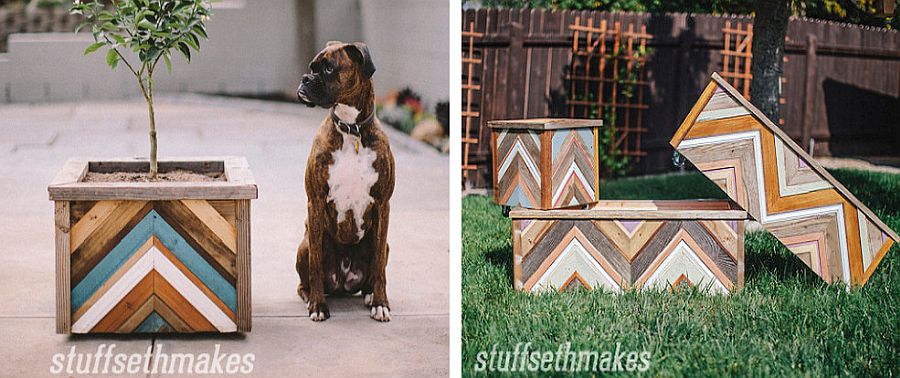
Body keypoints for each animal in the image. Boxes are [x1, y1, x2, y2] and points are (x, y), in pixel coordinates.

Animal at [296, 42, 394, 322]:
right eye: (312, 67)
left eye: (329, 68)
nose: (305, 79)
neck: (352, 130)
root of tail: (342, 283)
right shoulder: (315, 202)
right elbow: (315, 266)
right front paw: (318, 306)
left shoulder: (383, 205)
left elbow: (379, 270)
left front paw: (381, 304)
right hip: (304, 245)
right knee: (305, 279)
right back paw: (310, 297)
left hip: (384, 245)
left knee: (374, 269)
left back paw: (370, 295)